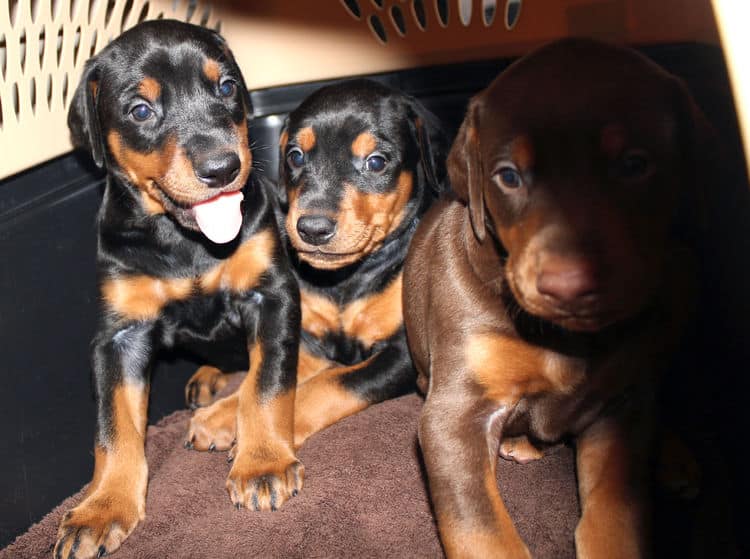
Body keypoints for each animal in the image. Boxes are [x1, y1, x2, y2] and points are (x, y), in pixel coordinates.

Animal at [185, 80, 450, 450]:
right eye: (295, 156)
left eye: (377, 162)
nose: (312, 228)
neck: (345, 281)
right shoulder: (304, 338)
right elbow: (270, 378)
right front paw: (222, 415)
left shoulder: (402, 355)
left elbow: (329, 382)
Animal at [406, 37, 704, 556]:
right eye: (508, 176)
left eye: (635, 164)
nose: (569, 284)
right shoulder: (452, 415)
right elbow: (481, 529)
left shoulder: (616, 405)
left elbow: (615, 510)